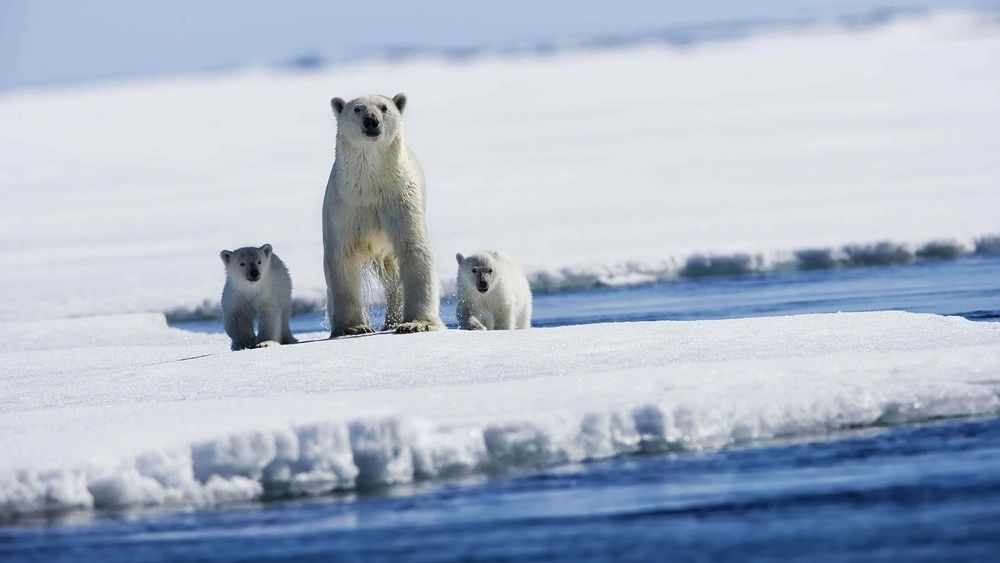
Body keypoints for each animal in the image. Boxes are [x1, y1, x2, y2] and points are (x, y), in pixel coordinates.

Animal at [322, 94, 444, 338]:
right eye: (357, 109)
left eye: (384, 107)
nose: (371, 121)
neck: (370, 185)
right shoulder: (345, 206)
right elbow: (342, 255)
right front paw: (353, 327)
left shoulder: (399, 198)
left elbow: (414, 247)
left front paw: (417, 323)